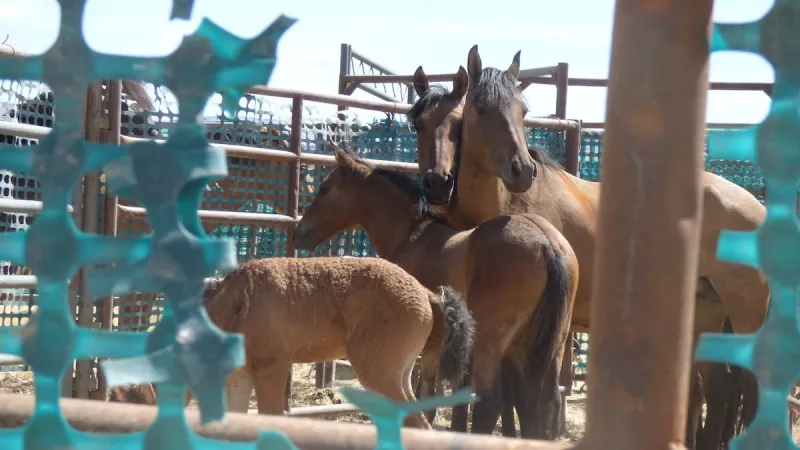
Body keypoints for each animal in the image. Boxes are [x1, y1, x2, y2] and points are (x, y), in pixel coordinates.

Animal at [292, 144, 578, 439]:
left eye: (324, 188)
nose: (297, 234)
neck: (412, 235)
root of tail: (548, 244)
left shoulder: (429, 344)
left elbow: (425, 400)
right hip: (541, 342)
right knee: (539, 402)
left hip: (491, 342)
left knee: (491, 403)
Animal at [408, 45, 767, 448]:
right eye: (417, 123)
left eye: (523, 111)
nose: (522, 170)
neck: (511, 206)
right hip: (706, 323)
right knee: (719, 391)